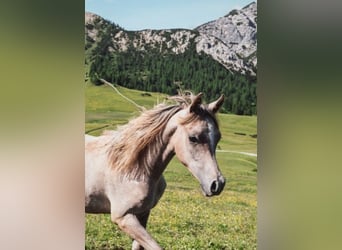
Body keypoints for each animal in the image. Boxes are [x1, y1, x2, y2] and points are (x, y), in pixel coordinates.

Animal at [85, 92, 226, 250]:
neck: (134, 170)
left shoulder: (142, 214)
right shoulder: (123, 217)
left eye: (218, 137)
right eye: (193, 138)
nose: (217, 184)